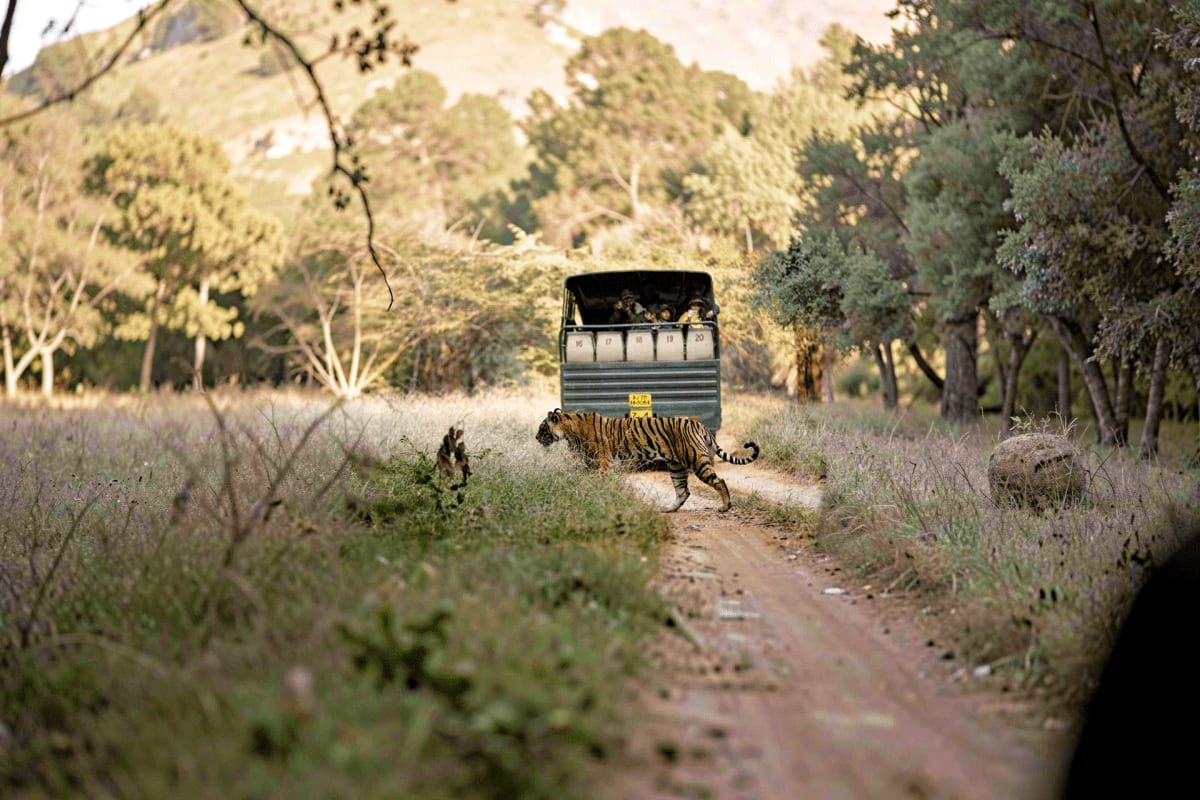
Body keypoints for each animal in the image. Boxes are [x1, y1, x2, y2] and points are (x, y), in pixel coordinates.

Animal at [535, 409, 760, 512]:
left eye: (542, 428)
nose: (536, 438)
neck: (569, 430)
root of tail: (698, 424)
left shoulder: (601, 463)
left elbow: (598, 482)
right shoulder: (589, 463)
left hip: (696, 460)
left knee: (719, 481)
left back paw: (725, 507)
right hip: (676, 466)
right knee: (683, 491)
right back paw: (669, 509)